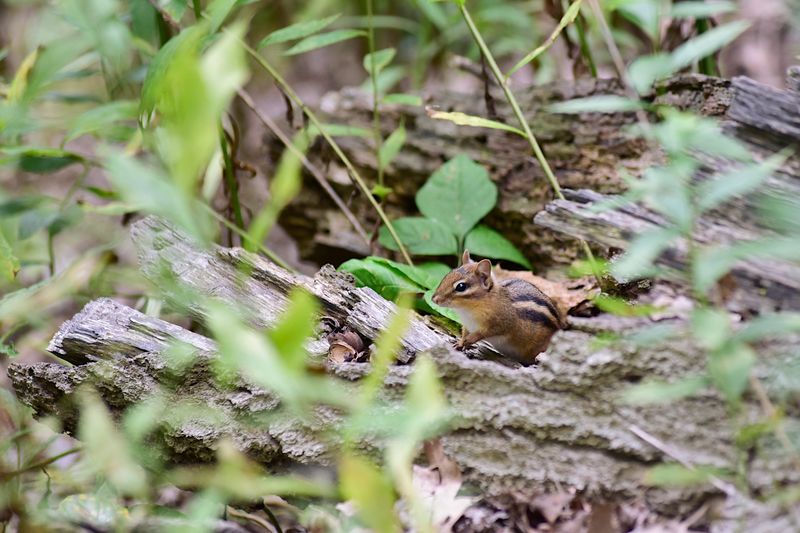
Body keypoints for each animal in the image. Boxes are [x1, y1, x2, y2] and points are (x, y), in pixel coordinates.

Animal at [431, 250, 565, 365]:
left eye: (461, 286)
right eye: (448, 274)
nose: (434, 299)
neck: (468, 310)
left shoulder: (500, 324)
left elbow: (483, 333)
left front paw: (468, 341)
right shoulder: (467, 324)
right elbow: (464, 333)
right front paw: (460, 342)